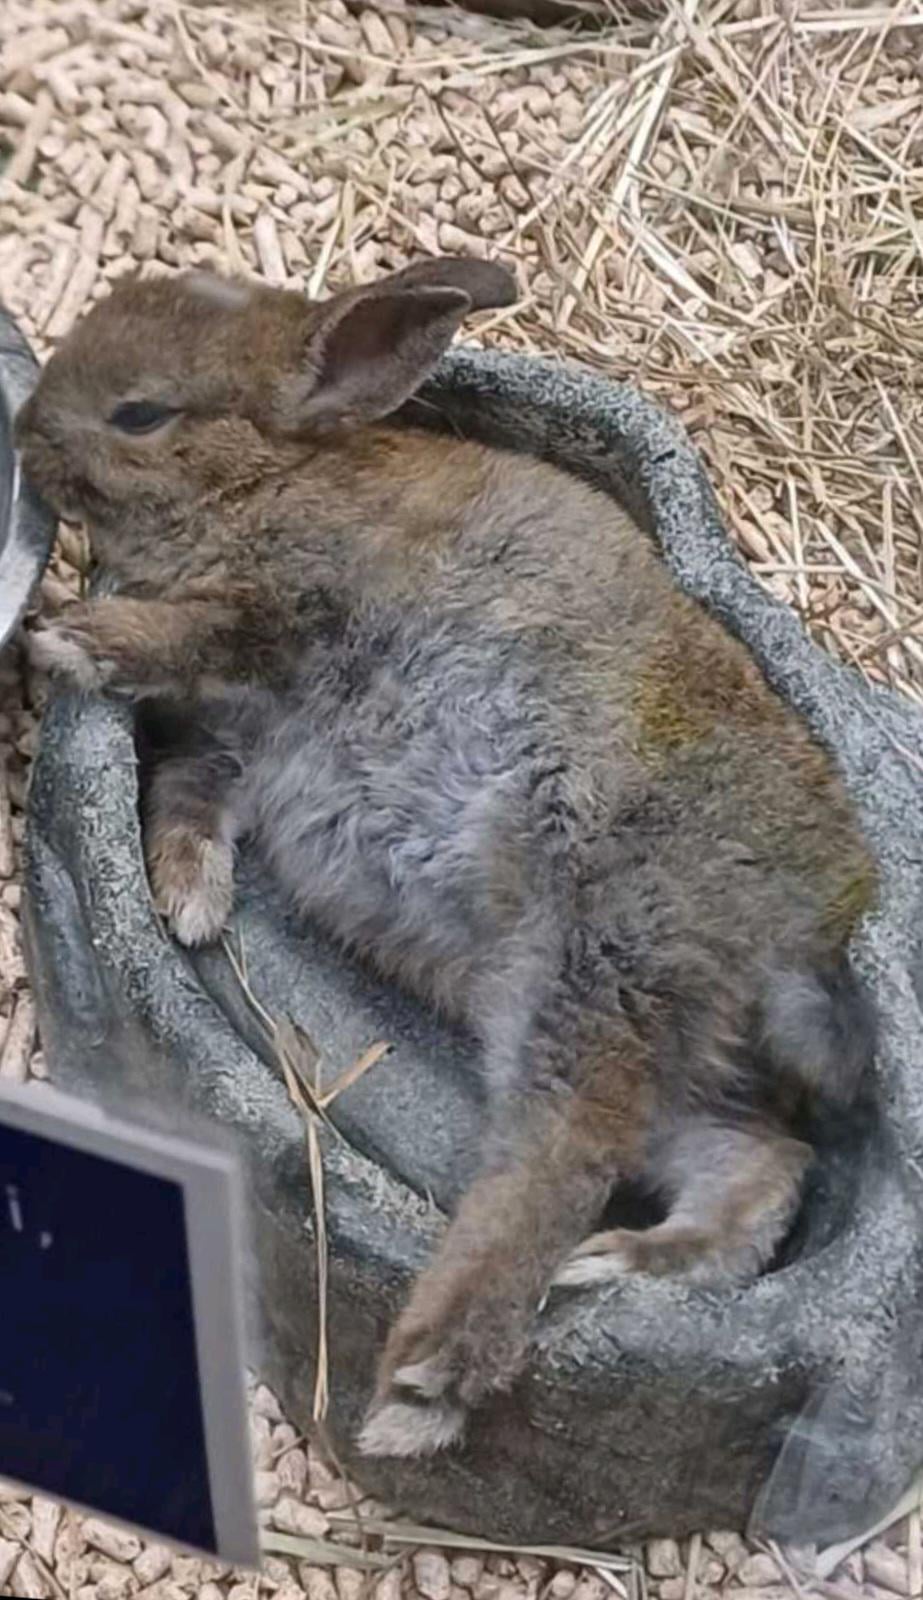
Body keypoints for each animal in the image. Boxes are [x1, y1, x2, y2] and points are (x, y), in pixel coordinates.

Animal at [15, 258, 878, 1459]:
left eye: (140, 414)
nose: (25, 434)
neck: (266, 477)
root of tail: (806, 941)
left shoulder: (284, 609)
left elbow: (193, 633)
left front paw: (71, 639)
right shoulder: (235, 753)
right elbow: (188, 800)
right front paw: (189, 900)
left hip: (597, 962)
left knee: (558, 1162)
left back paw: (422, 1389)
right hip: (640, 1046)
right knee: (756, 1170)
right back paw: (629, 1264)